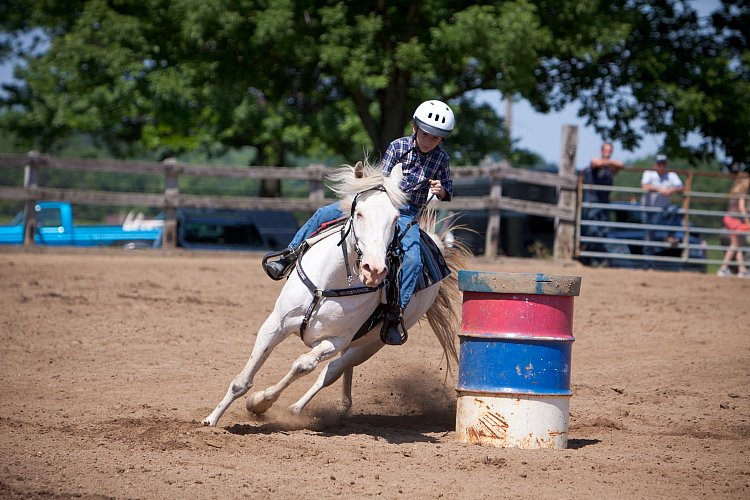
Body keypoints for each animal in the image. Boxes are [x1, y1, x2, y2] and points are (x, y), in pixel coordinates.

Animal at [203, 162, 472, 428]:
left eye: (396, 218)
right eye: (359, 213)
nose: (374, 270)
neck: (329, 282)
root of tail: (437, 243)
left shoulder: (336, 341)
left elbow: (303, 365)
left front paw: (260, 402)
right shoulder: (275, 324)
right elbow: (243, 379)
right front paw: (212, 419)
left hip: (369, 344)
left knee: (332, 371)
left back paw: (298, 409)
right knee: (339, 372)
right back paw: (342, 407)